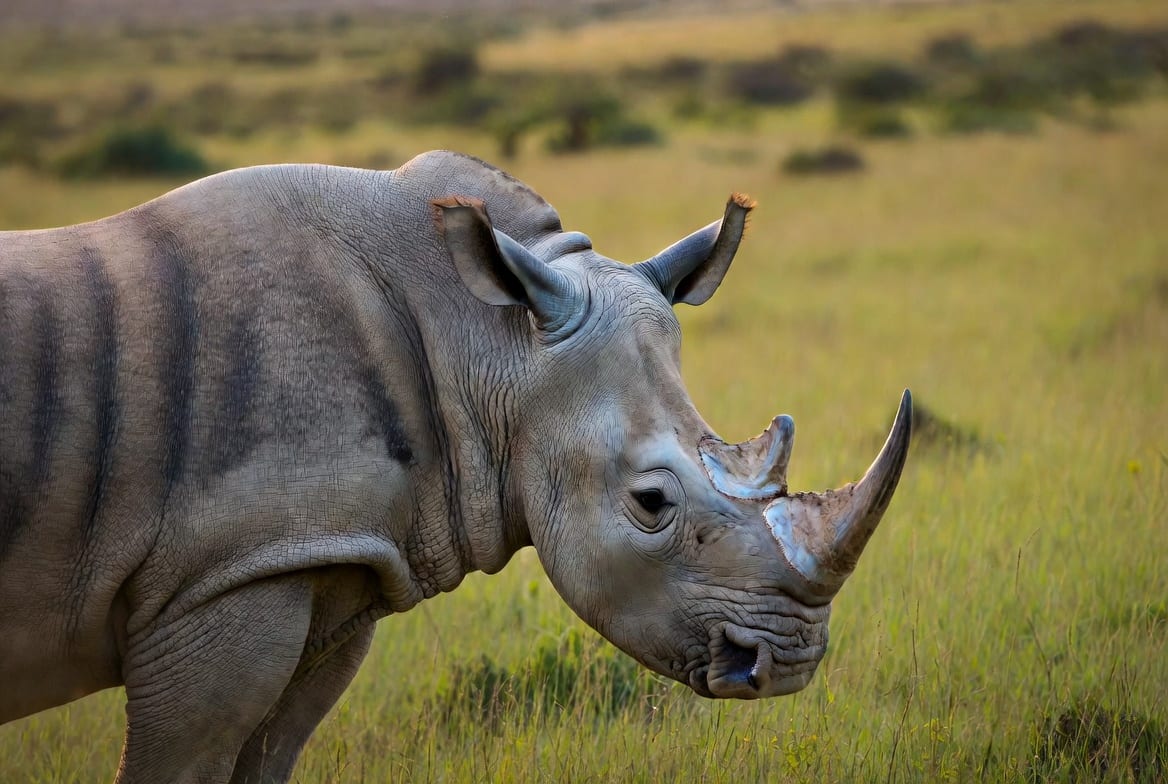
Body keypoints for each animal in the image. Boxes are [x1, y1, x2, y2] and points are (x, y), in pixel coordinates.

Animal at [0, 150, 911, 782]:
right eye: (652, 503)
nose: (787, 662)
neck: (485, 335)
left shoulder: (318, 558)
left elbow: (268, 755)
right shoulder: (220, 575)